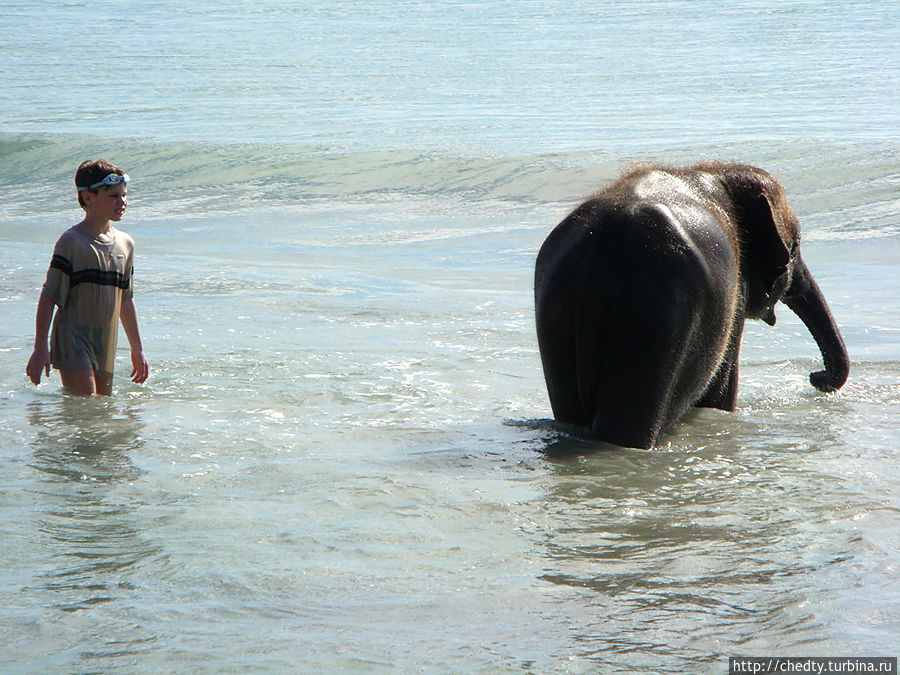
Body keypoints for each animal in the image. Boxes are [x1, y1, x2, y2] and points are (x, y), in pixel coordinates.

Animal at [536, 161, 852, 452]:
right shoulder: (734, 295)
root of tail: (600, 248)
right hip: (653, 316)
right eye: (795, 247)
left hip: (557, 305)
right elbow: (721, 389)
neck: (721, 170)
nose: (816, 377)